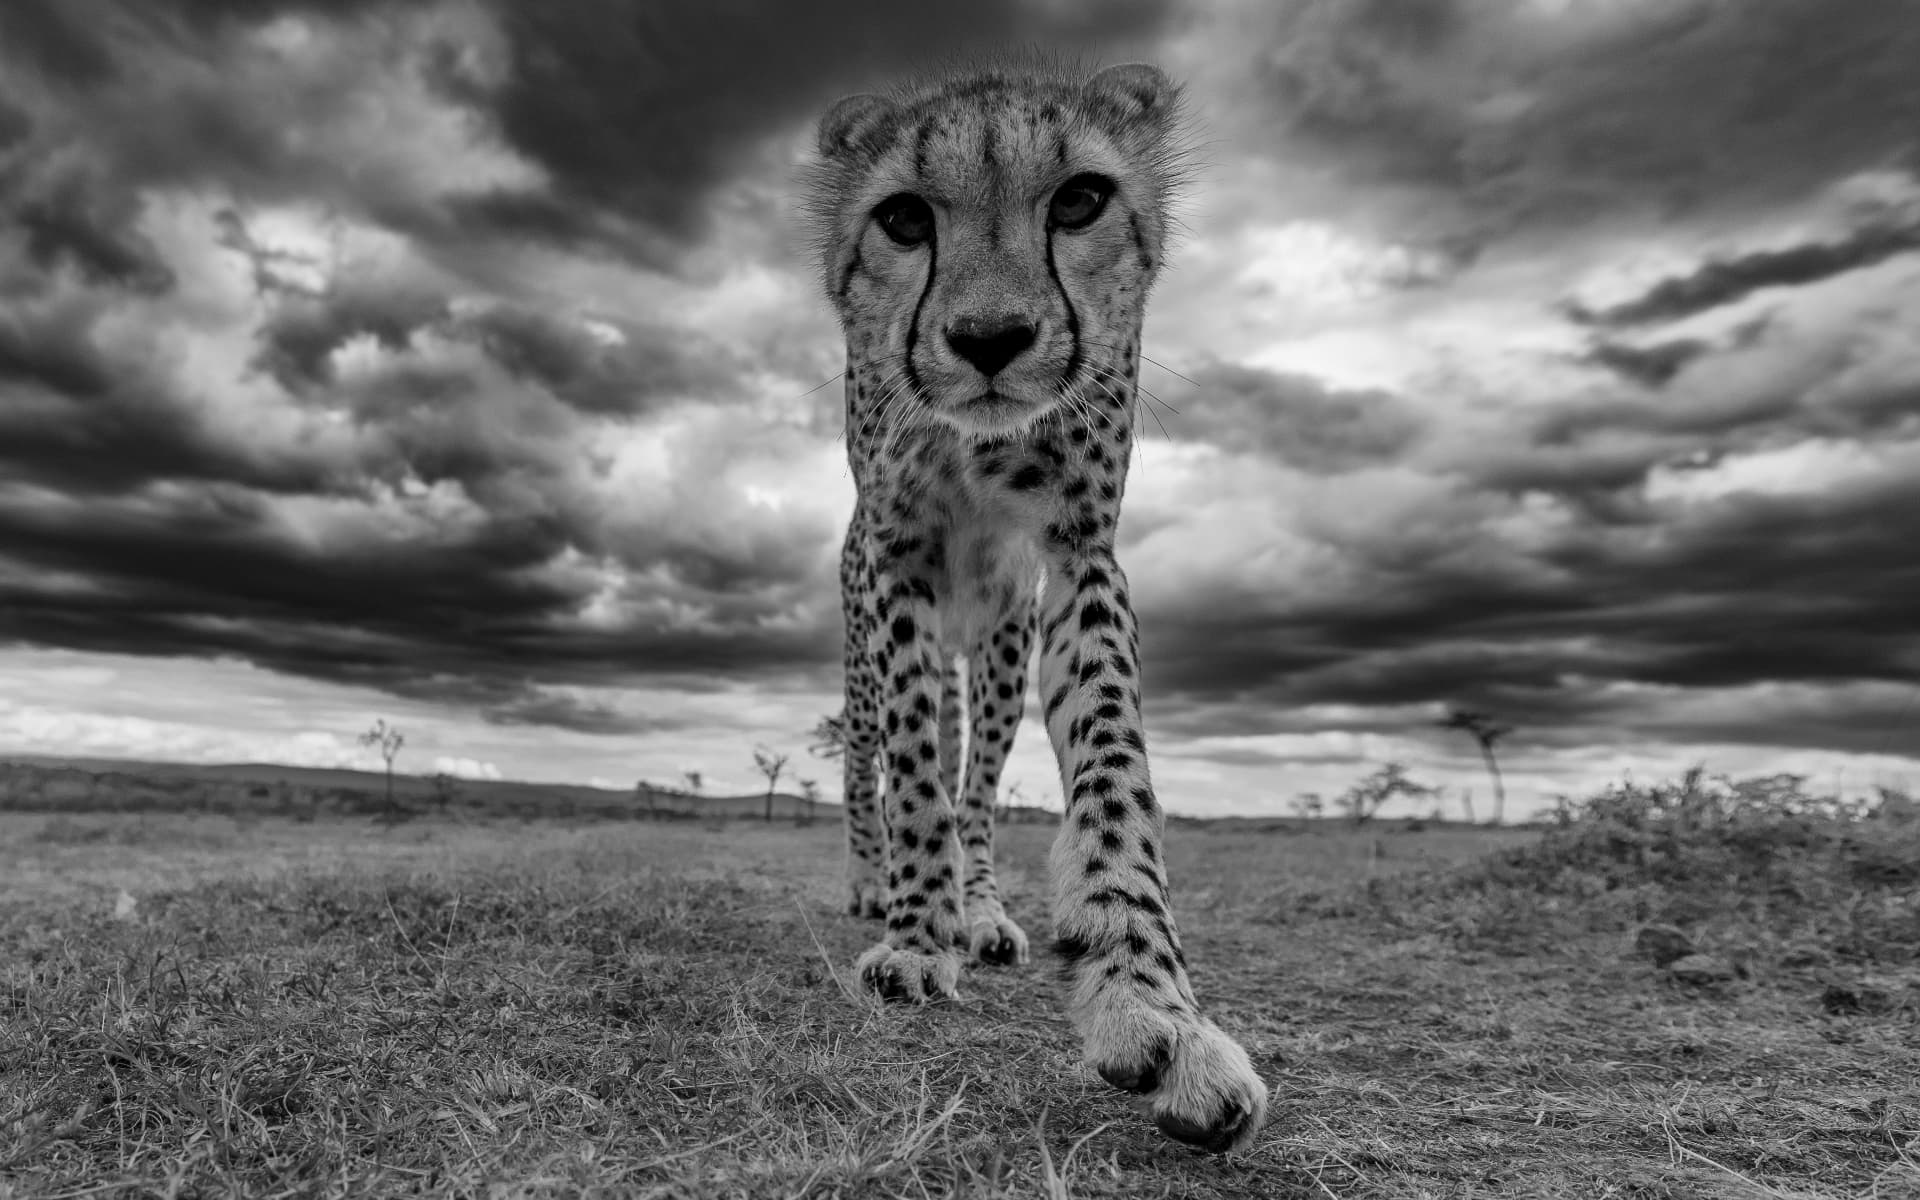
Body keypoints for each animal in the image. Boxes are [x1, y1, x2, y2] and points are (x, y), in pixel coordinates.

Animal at [801, 58, 1269, 1155]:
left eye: (1080, 201)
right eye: (902, 219)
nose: (990, 339)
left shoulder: (1077, 552)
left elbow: (1110, 771)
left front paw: (1152, 1005)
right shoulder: (899, 562)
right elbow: (913, 777)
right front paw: (914, 936)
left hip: (1001, 645)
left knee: (978, 774)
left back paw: (979, 909)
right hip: (866, 651)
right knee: (869, 759)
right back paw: (877, 885)